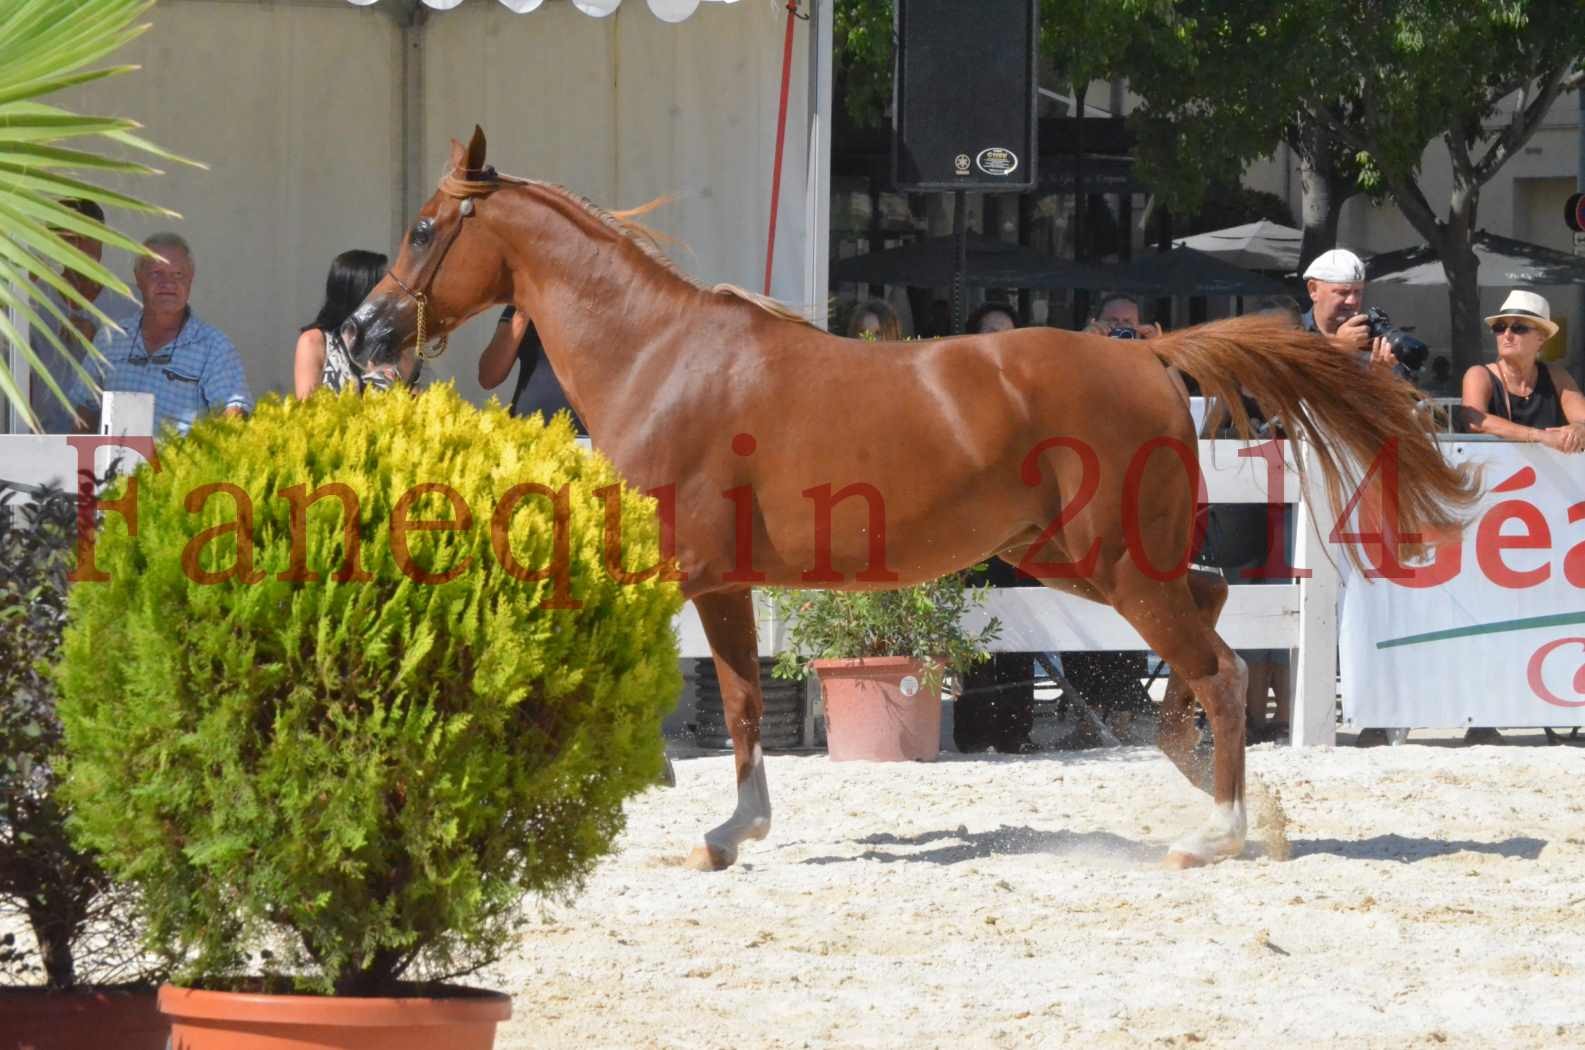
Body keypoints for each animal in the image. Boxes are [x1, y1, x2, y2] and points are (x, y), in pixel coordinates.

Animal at [343, 129, 1470, 869]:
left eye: (424, 228)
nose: (364, 333)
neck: (661, 359)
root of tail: (1146, 351)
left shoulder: (687, 570)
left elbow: (688, 688)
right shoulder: (719, 580)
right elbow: (735, 696)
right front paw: (729, 828)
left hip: (1110, 564)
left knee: (1223, 665)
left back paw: (1218, 830)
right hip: (1077, 559)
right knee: (1211, 604)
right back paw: (1196, 773)